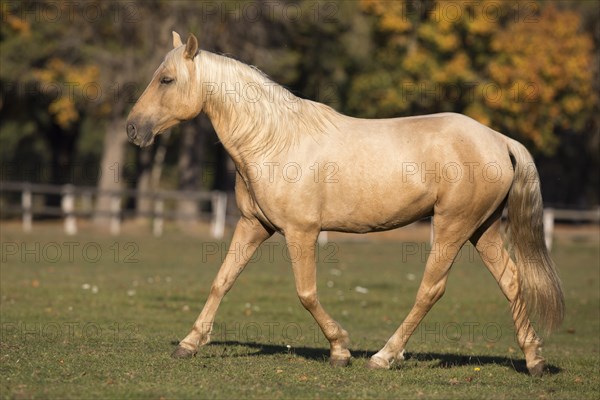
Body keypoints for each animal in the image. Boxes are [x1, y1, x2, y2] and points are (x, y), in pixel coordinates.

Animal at [126, 32, 564, 376]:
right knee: (511, 281)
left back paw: (384, 356)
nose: (133, 128)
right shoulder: (253, 225)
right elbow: (222, 280)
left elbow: (306, 293)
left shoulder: (300, 232)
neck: (273, 142)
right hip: (482, 230)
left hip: (453, 228)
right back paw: (534, 360)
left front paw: (340, 349)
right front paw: (189, 343)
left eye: (166, 79)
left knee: (431, 290)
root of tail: (500, 140)